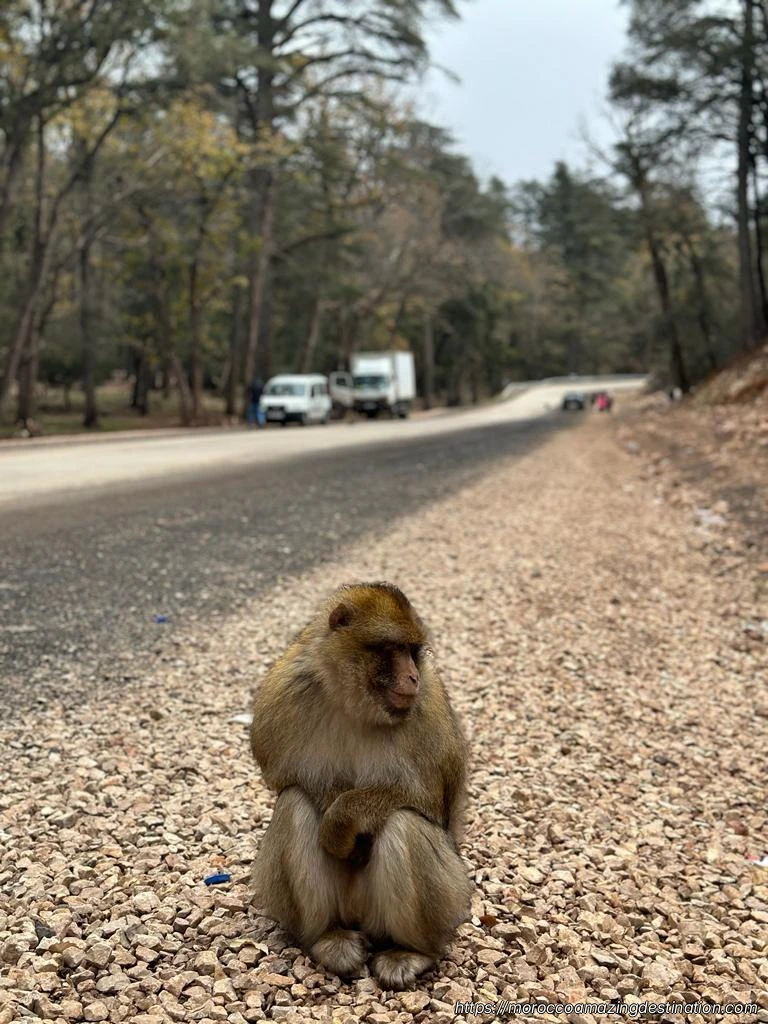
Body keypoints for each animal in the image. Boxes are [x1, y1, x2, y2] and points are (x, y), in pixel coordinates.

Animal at [249, 582, 472, 990]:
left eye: (412, 651)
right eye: (392, 649)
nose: (413, 677)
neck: (353, 702)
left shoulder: (428, 705)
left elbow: (427, 801)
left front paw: (340, 824)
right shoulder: (283, 692)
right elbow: (286, 782)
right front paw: (334, 817)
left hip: (448, 896)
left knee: (404, 822)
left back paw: (413, 952)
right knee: (294, 804)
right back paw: (327, 938)